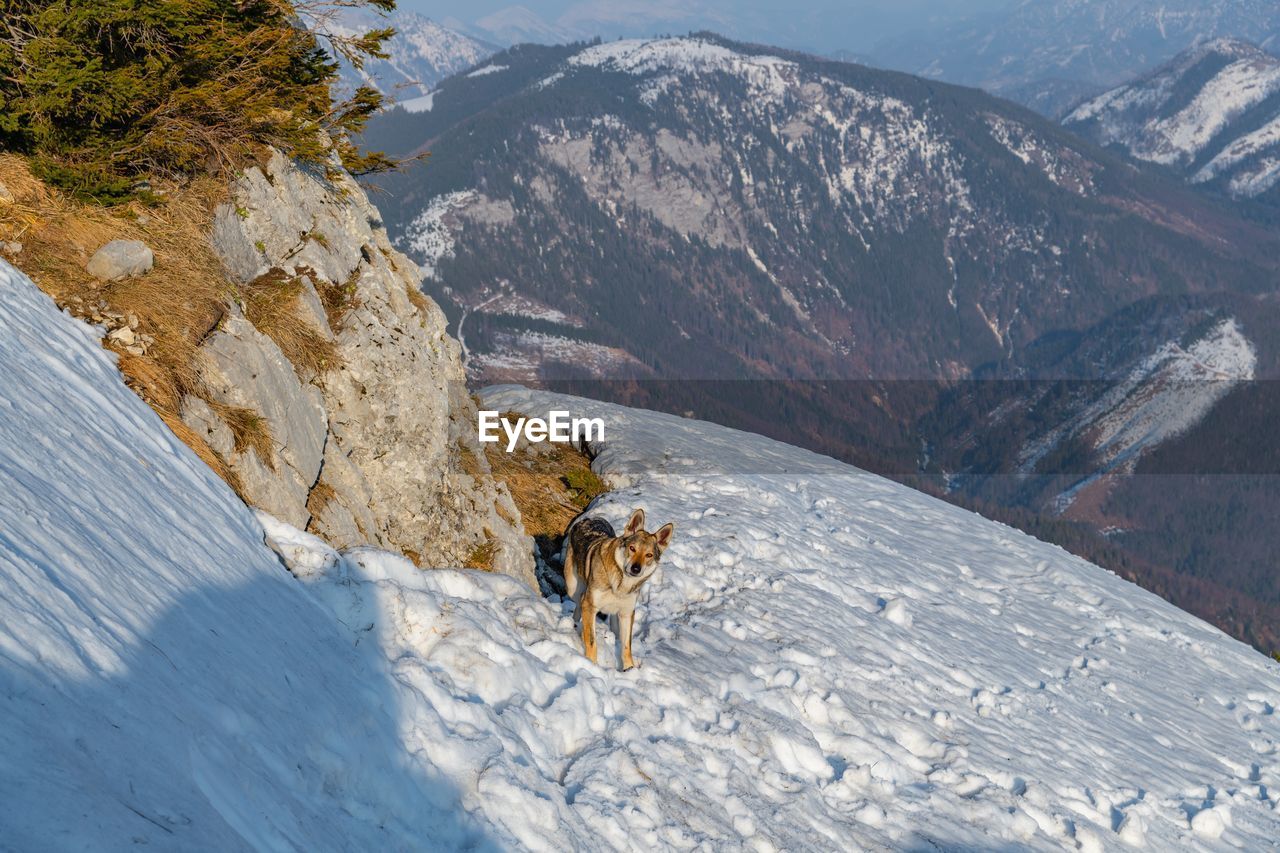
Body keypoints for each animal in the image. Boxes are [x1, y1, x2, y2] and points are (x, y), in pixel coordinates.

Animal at [565, 507, 675, 666]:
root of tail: (590, 518)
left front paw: (629, 668)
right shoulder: (590, 605)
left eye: (648, 555)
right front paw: (591, 664)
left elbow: (627, 647)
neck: (621, 585)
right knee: (579, 603)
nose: (636, 569)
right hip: (573, 589)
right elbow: (591, 641)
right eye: (632, 548)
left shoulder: (627, 613)